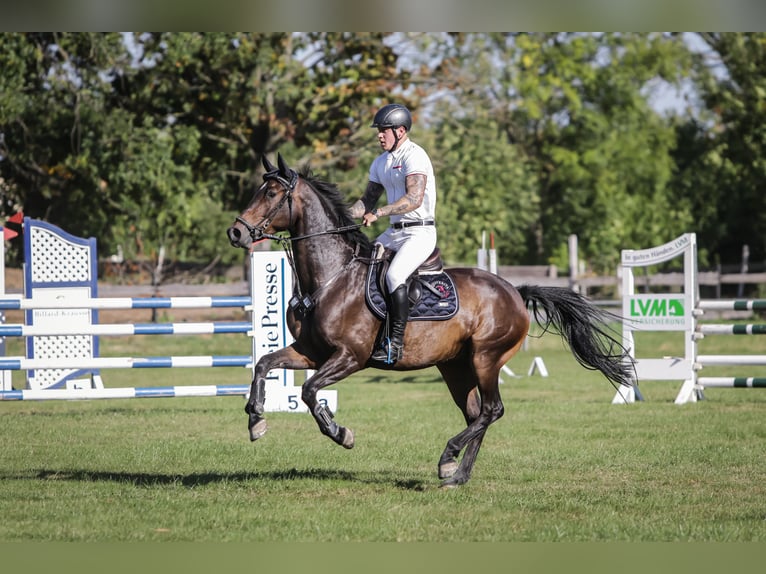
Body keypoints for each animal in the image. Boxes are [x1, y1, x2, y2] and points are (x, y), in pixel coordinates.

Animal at [227, 154, 633, 488]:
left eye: (271, 193)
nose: (236, 231)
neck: (332, 276)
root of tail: (515, 292)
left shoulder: (349, 357)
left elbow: (311, 392)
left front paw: (341, 433)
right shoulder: (310, 351)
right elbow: (264, 364)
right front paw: (255, 420)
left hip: (486, 359)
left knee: (492, 410)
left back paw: (448, 457)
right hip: (456, 367)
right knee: (477, 414)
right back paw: (456, 474)